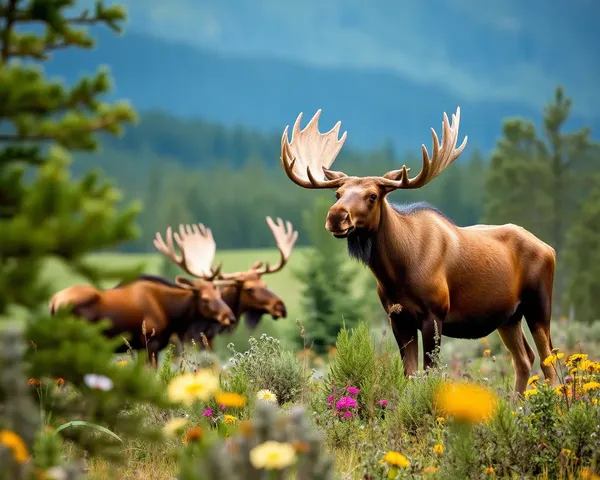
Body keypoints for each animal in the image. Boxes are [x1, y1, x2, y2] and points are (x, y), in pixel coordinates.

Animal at [276, 107, 556, 396]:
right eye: (338, 194)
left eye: (373, 195)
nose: (336, 217)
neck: (396, 271)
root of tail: (548, 248)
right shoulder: (398, 317)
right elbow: (409, 375)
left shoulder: (435, 314)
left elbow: (429, 373)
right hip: (508, 317)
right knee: (524, 359)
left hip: (539, 304)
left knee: (548, 360)